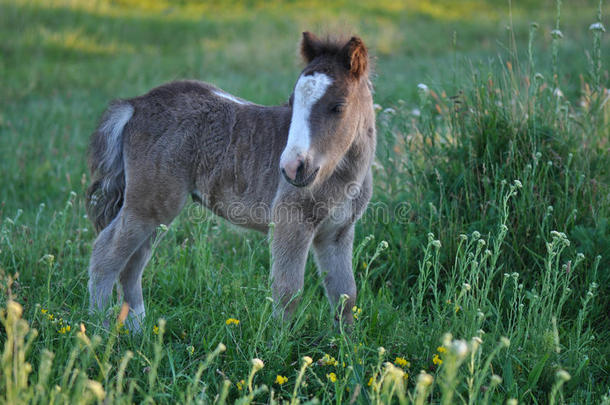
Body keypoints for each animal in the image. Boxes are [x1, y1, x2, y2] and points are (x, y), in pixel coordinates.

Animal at [86, 30, 376, 328]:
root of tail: (135, 105)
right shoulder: (290, 222)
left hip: (154, 209)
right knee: (106, 253)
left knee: (133, 262)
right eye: (291, 103)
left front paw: (344, 339)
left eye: (338, 106)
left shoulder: (337, 233)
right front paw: (278, 339)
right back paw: (98, 325)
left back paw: (138, 330)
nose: (291, 167)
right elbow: (288, 292)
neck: (342, 175)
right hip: (149, 203)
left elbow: (345, 294)